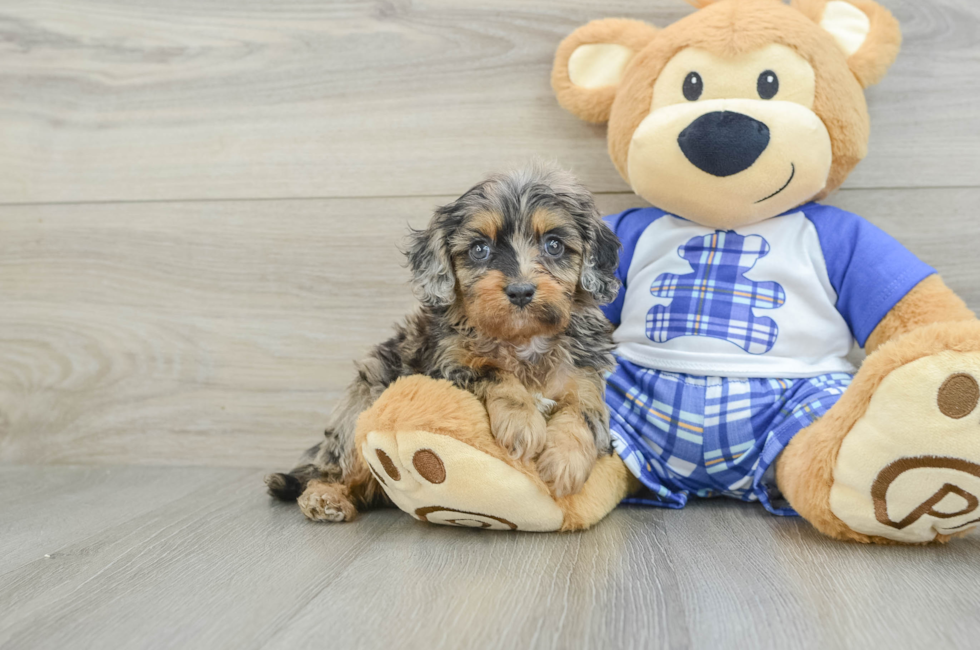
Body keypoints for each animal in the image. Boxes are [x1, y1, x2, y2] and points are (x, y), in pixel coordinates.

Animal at [266, 165, 620, 520]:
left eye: (554, 245)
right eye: (479, 249)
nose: (521, 291)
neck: (523, 339)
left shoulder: (586, 377)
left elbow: (583, 414)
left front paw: (564, 460)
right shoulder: (447, 366)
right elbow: (494, 373)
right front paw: (522, 420)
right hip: (360, 407)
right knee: (336, 469)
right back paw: (325, 497)